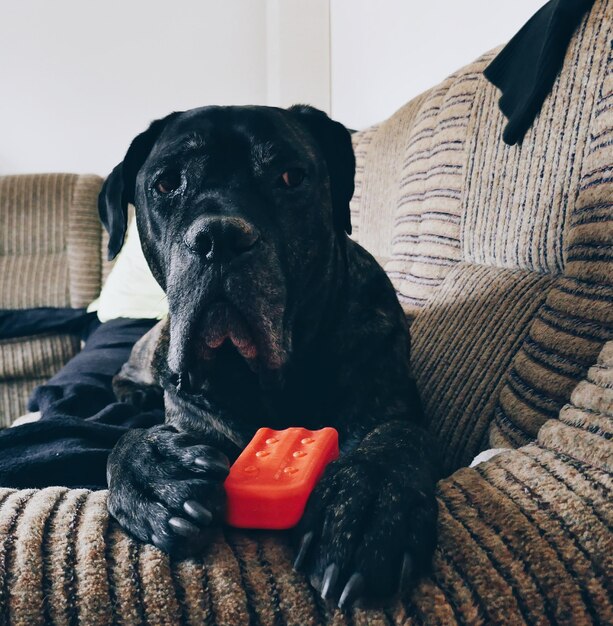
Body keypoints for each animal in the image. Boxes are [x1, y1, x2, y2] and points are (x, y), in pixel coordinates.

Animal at [100, 105, 438, 608]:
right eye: (166, 184)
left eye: (290, 176)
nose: (218, 237)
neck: (258, 377)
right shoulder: (192, 415)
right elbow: (125, 443)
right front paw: (150, 473)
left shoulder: (388, 393)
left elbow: (396, 437)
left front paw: (367, 502)